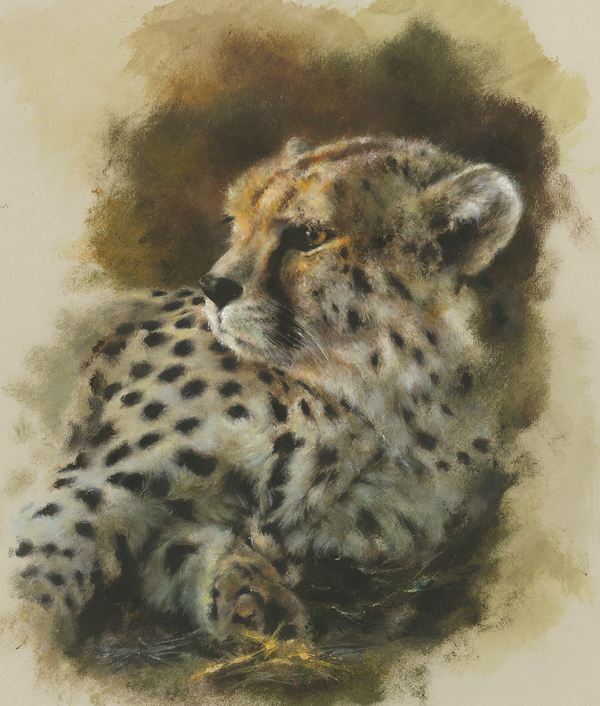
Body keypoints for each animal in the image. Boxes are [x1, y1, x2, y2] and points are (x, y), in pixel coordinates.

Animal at [10, 135, 523, 652]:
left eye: (309, 235)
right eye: (238, 225)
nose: (212, 287)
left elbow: (181, 545)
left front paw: (249, 595)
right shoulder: (96, 480)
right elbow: (40, 559)